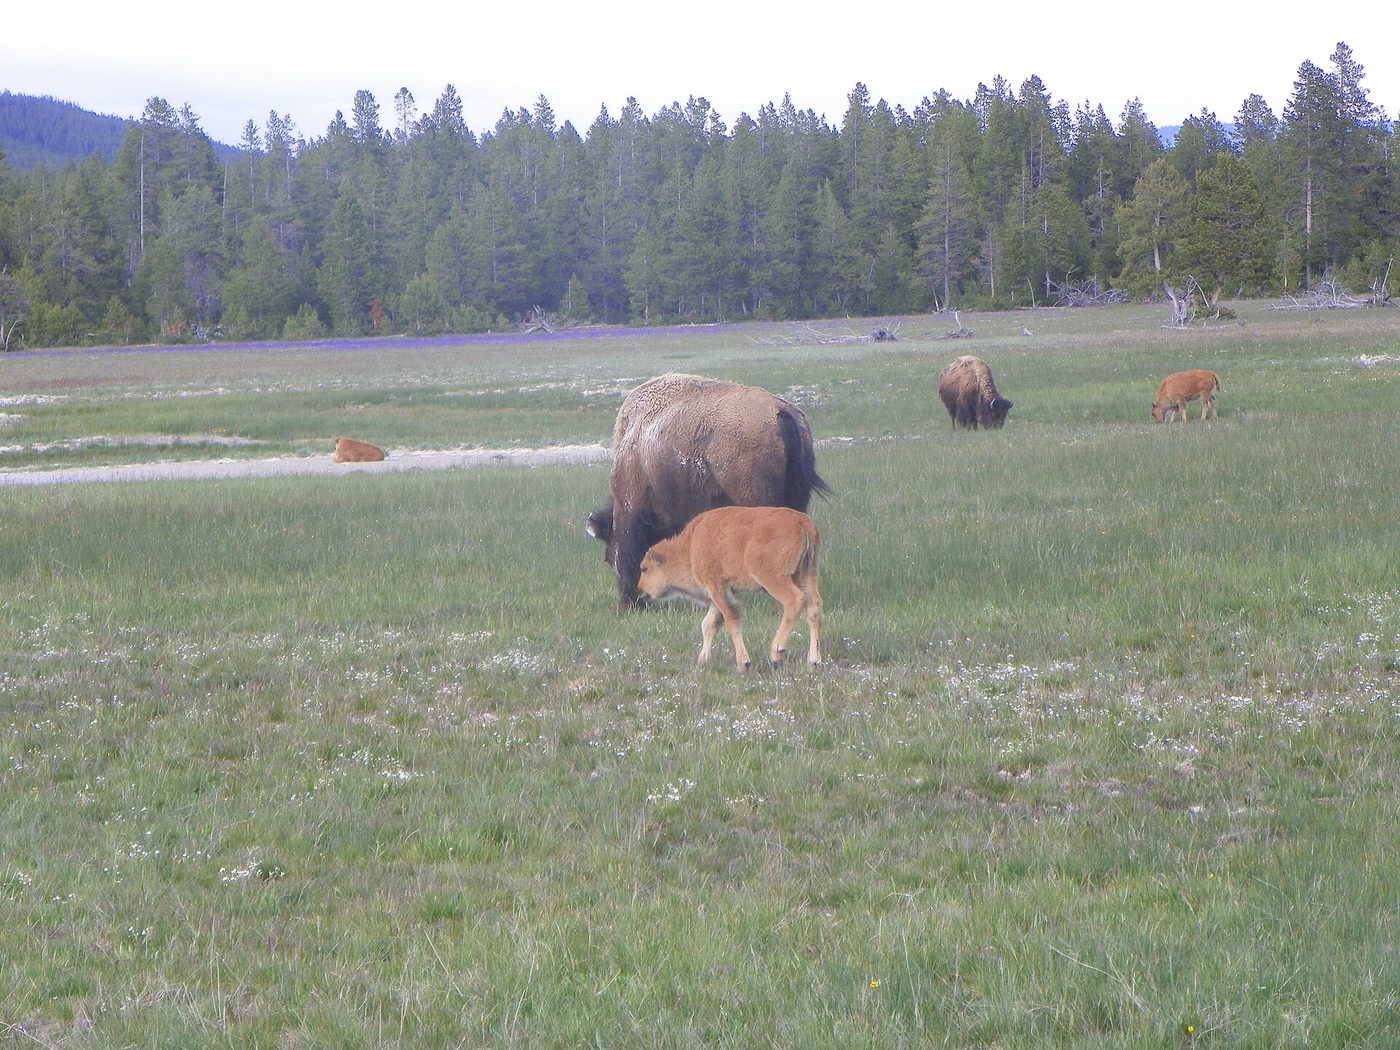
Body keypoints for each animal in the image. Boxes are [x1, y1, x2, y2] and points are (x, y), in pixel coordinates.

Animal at [637, 505, 823, 672]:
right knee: (814, 607)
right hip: (806, 574)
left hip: (773, 577)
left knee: (794, 600)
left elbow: (730, 619)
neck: (690, 547)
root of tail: (802, 521)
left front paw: (743, 663)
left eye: (644, 568)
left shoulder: (716, 587)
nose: (639, 591)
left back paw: (777, 652)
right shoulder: (721, 592)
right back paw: (813, 661)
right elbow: (709, 625)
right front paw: (702, 660)